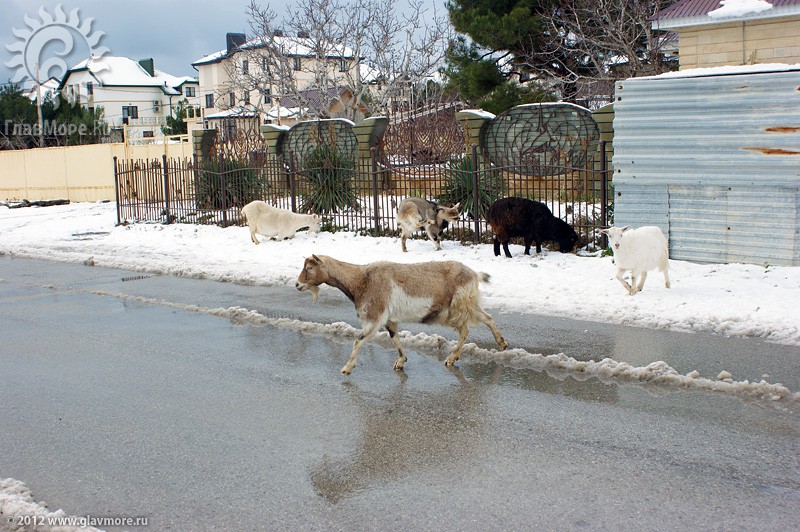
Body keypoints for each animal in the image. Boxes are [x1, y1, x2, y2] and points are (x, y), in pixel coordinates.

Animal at [294, 254, 506, 374]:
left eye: (309, 267)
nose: (297, 284)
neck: (361, 279)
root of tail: (474, 274)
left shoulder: (375, 317)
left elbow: (358, 341)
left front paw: (346, 369)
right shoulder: (389, 319)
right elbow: (394, 337)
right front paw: (401, 361)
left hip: (456, 307)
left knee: (465, 330)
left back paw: (452, 358)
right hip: (466, 304)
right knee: (487, 318)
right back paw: (501, 344)